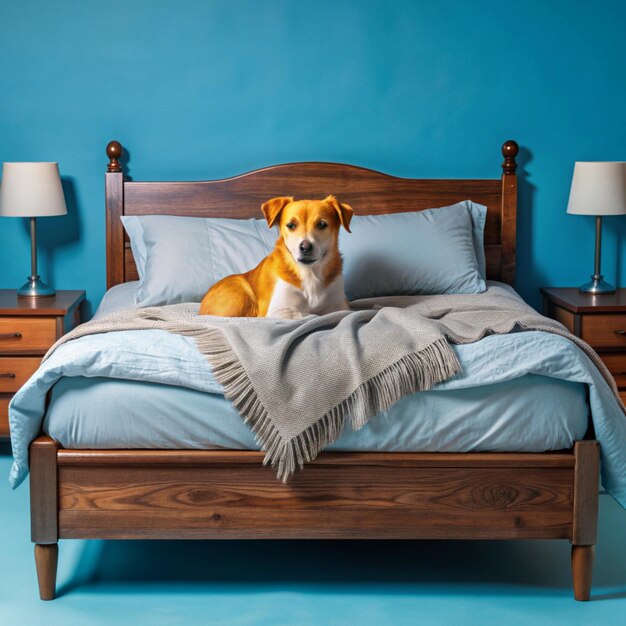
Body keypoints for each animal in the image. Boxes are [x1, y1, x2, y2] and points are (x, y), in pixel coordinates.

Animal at [200, 195, 352, 320]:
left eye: (321, 224)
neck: (309, 273)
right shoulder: (279, 310)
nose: (305, 247)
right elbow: (309, 315)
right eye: (291, 225)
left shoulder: (340, 306)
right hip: (240, 298)